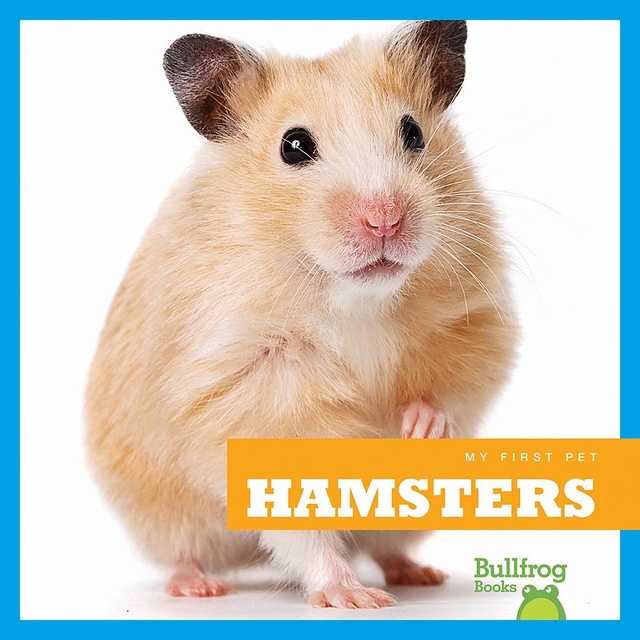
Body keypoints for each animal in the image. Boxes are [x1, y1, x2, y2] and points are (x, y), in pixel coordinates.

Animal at [85, 20, 518, 609]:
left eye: (413, 132)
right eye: (293, 146)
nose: (385, 221)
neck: (354, 298)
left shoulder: (475, 321)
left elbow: (451, 388)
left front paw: (418, 428)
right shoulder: (254, 386)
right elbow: (303, 524)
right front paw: (353, 599)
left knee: (385, 546)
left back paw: (420, 574)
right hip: (163, 512)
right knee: (185, 550)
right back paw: (200, 587)